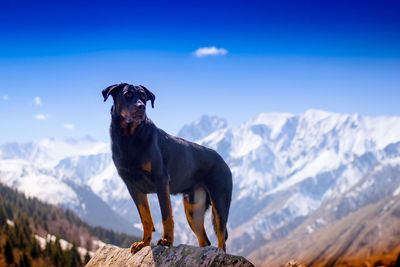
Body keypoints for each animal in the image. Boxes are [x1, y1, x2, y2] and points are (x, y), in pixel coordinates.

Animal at [103, 83, 233, 253]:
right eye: (128, 94)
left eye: (143, 97)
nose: (141, 106)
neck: (130, 137)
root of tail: (223, 161)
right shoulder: (133, 187)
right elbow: (145, 218)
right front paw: (144, 243)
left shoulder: (161, 181)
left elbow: (166, 215)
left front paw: (167, 241)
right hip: (193, 209)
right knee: (204, 240)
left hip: (219, 202)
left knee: (221, 237)